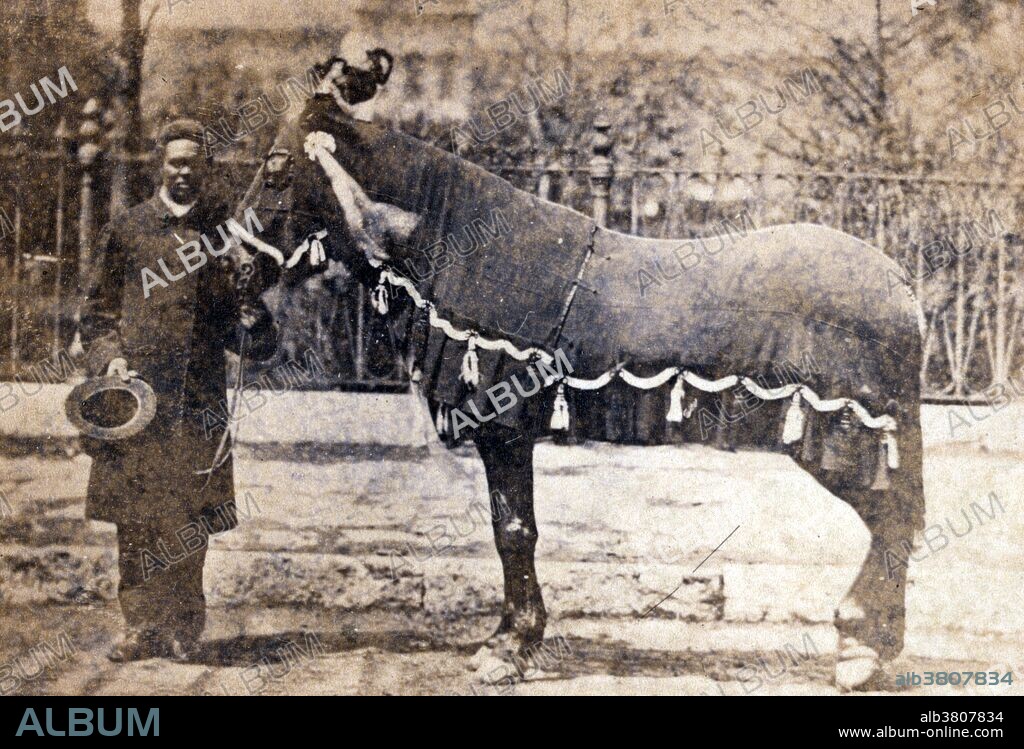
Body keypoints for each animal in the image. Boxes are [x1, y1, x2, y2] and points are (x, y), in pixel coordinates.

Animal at [224, 55, 925, 692]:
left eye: (276, 167)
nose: (233, 270)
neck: (453, 243)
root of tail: (902, 283)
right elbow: (513, 529)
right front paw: (515, 638)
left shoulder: (503, 429)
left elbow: (513, 532)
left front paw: (508, 647)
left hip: (845, 437)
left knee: (891, 524)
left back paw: (861, 649)